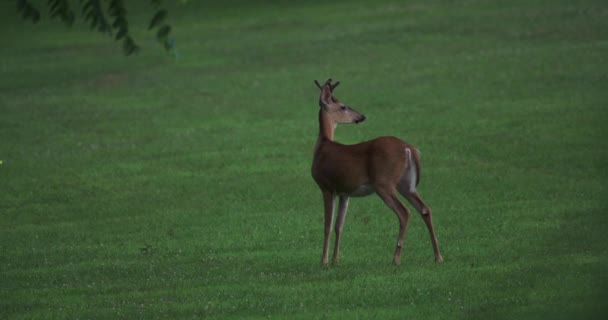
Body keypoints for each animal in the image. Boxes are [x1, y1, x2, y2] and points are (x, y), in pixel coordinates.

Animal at [312, 79, 444, 266]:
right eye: (343, 106)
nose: (361, 117)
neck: (322, 146)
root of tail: (409, 148)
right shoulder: (345, 192)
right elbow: (339, 226)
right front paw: (335, 260)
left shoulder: (327, 186)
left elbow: (327, 226)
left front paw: (323, 261)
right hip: (407, 184)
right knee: (425, 209)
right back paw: (438, 256)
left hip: (383, 182)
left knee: (404, 212)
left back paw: (396, 258)